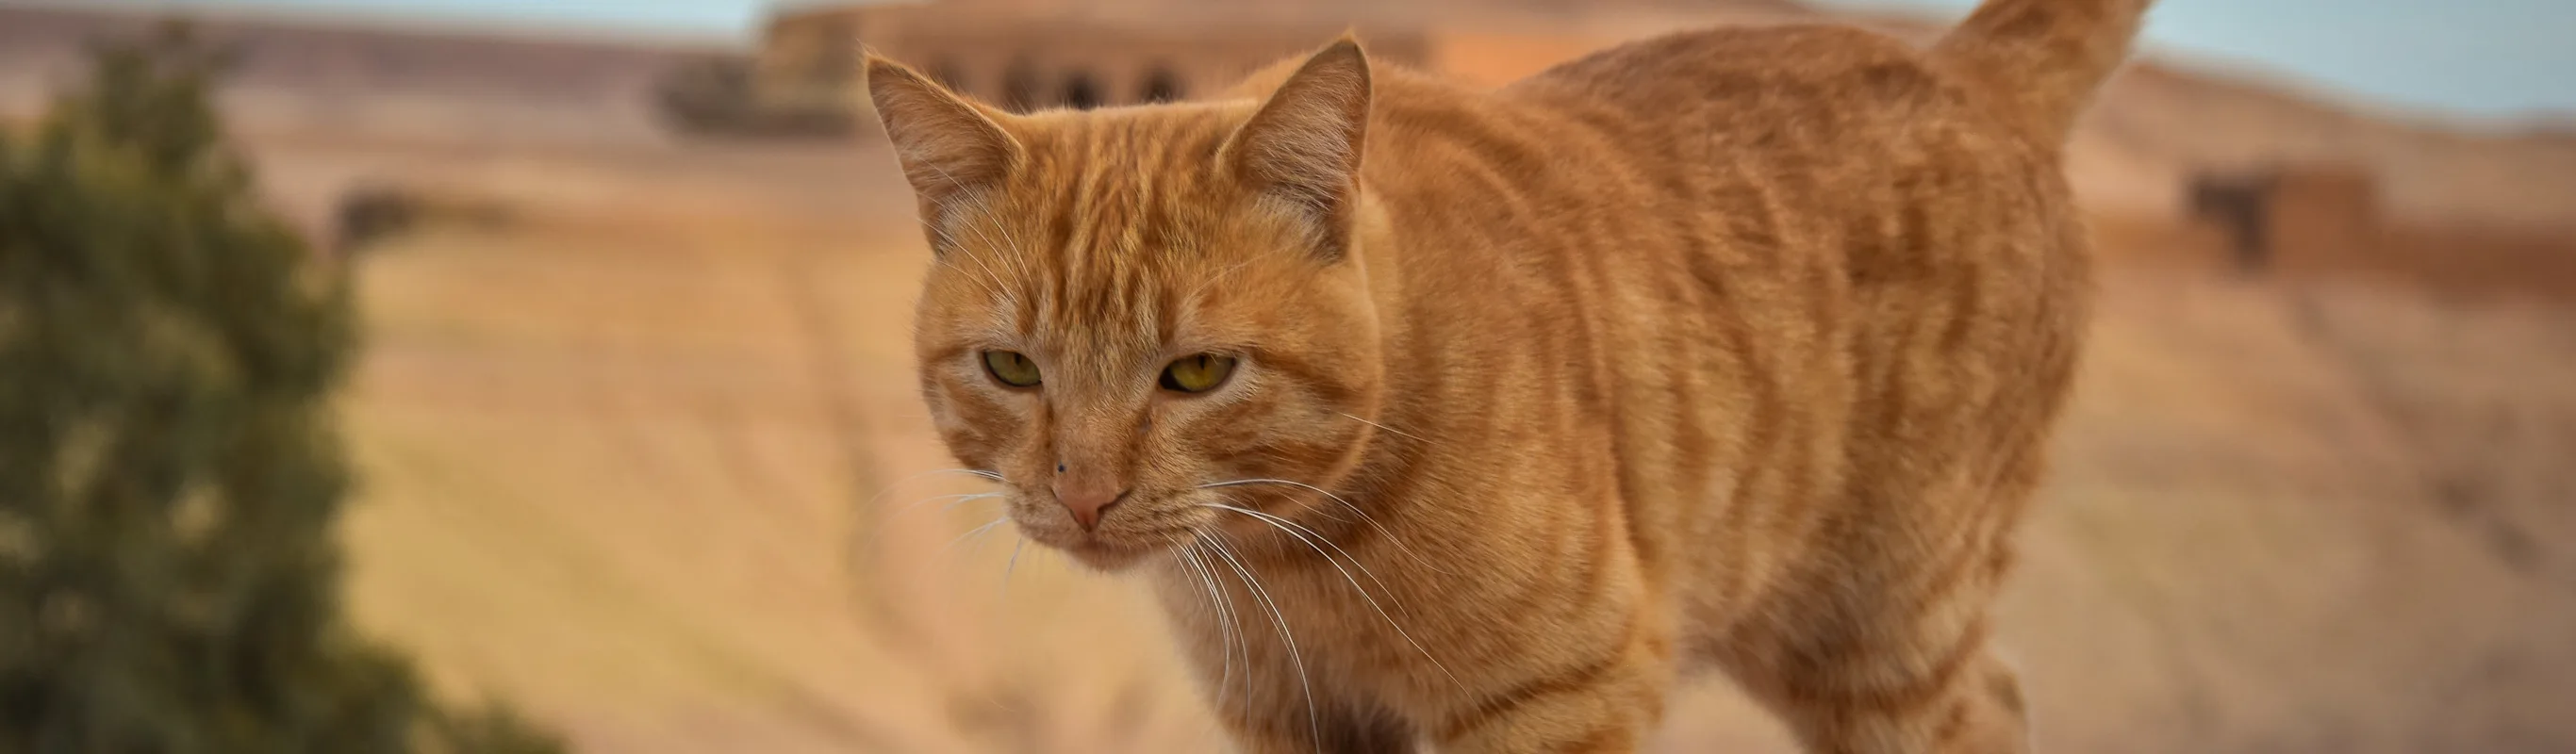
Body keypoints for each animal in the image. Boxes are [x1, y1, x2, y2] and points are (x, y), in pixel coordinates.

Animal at [870, 0, 2153, 746]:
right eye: (1010, 367)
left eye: (1194, 372)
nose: (1084, 493)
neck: (1290, 561)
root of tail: (1958, 60)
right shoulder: (1290, 716)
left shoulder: (1564, 692)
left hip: (1876, 621)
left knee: (1978, 704)